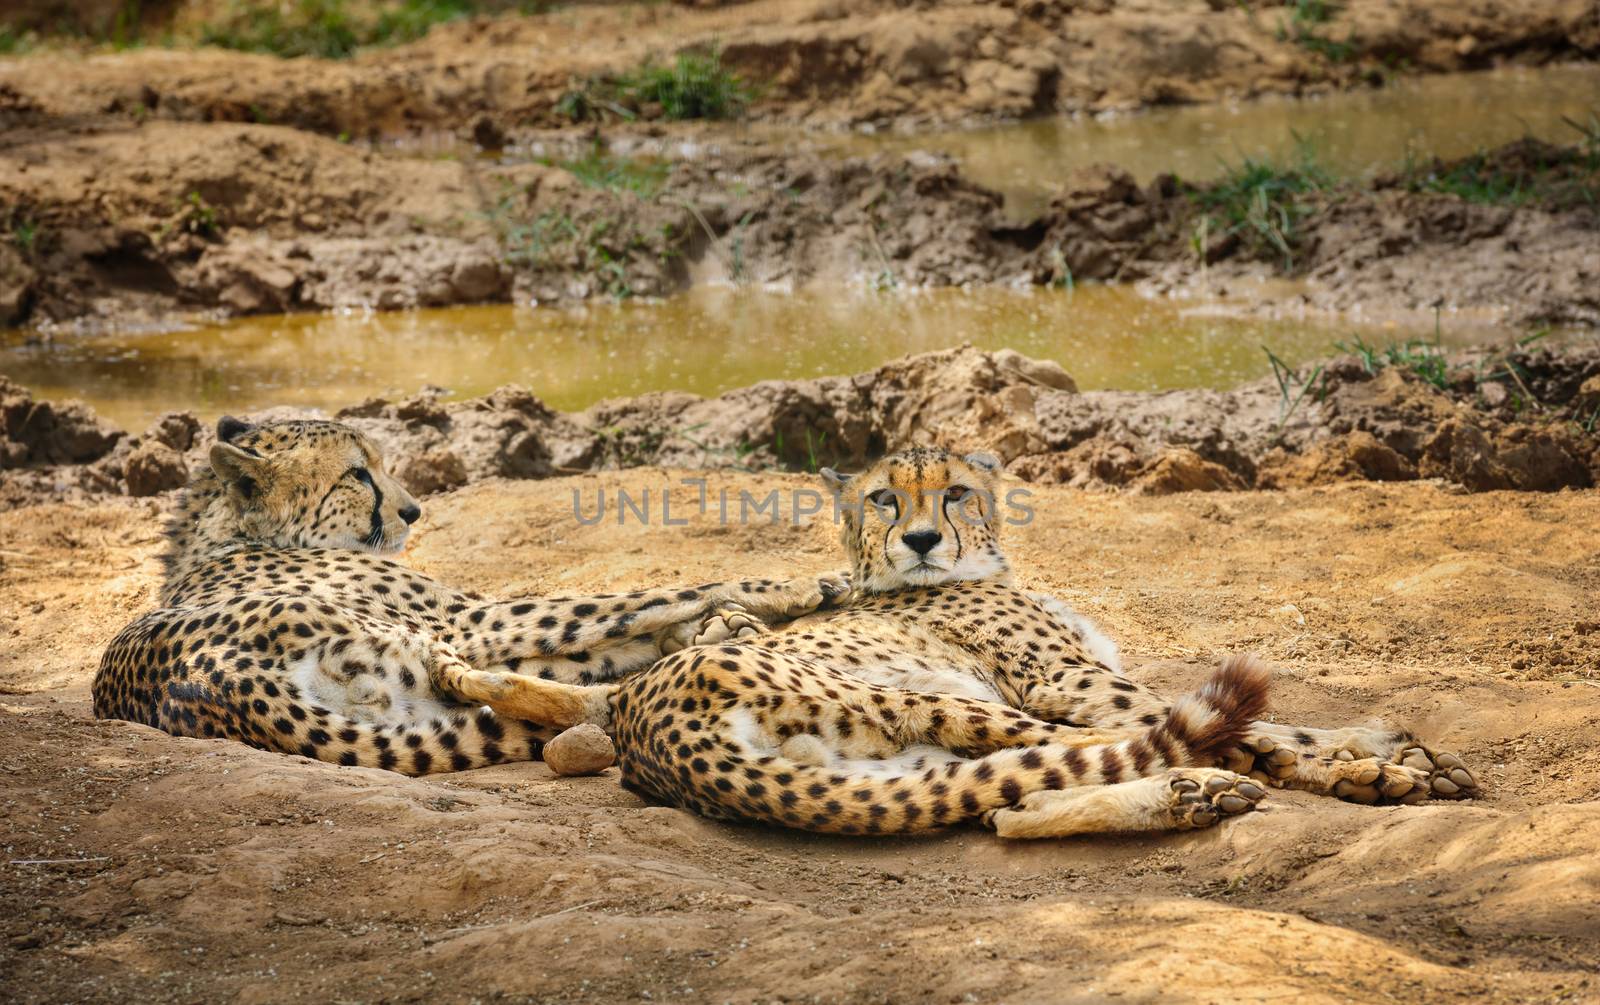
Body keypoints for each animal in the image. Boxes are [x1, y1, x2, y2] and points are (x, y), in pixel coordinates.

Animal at [96, 412, 851, 774]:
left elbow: (614, 627)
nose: (412, 511)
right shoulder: (468, 617)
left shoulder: (465, 633)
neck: (233, 537)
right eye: (357, 474)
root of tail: (218, 689)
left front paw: (713, 626)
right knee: (582, 688)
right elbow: (645, 592)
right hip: (426, 646)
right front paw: (801, 584)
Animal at [457, 444, 1478, 832]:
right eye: (884, 497)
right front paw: (1380, 757)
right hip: (949, 705)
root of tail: (655, 733)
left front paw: (1388, 747)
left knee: (1010, 804)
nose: (918, 539)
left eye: (952, 491)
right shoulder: (1072, 681)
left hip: (913, 763)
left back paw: (1196, 794)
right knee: (1156, 745)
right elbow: (1272, 725)